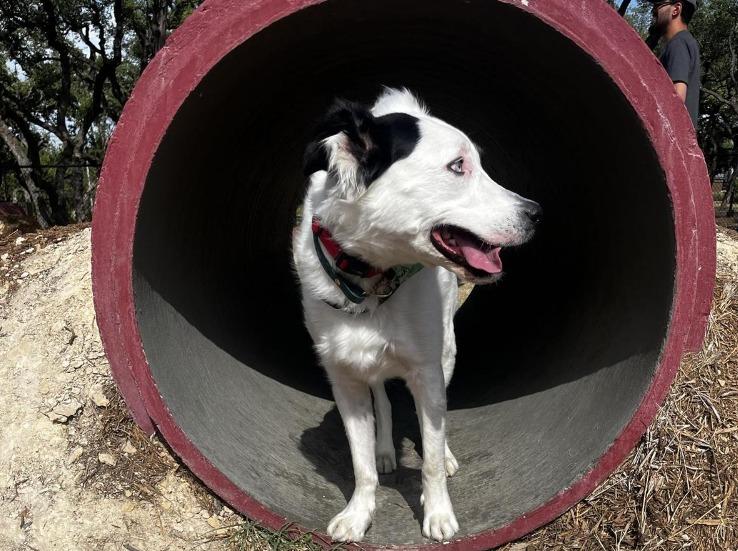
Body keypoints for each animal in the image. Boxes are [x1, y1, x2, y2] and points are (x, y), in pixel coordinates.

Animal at [294, 88, 540, 540]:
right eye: (458, 166)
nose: (536, 214)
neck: (371, 282)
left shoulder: (427, 371)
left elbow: (431, 457)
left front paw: (438, 512)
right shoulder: (345, 380)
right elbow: (361, 464)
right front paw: (359, 512)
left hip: (447, 353)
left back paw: (444, 454)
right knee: (383, 400)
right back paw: (385, 450)